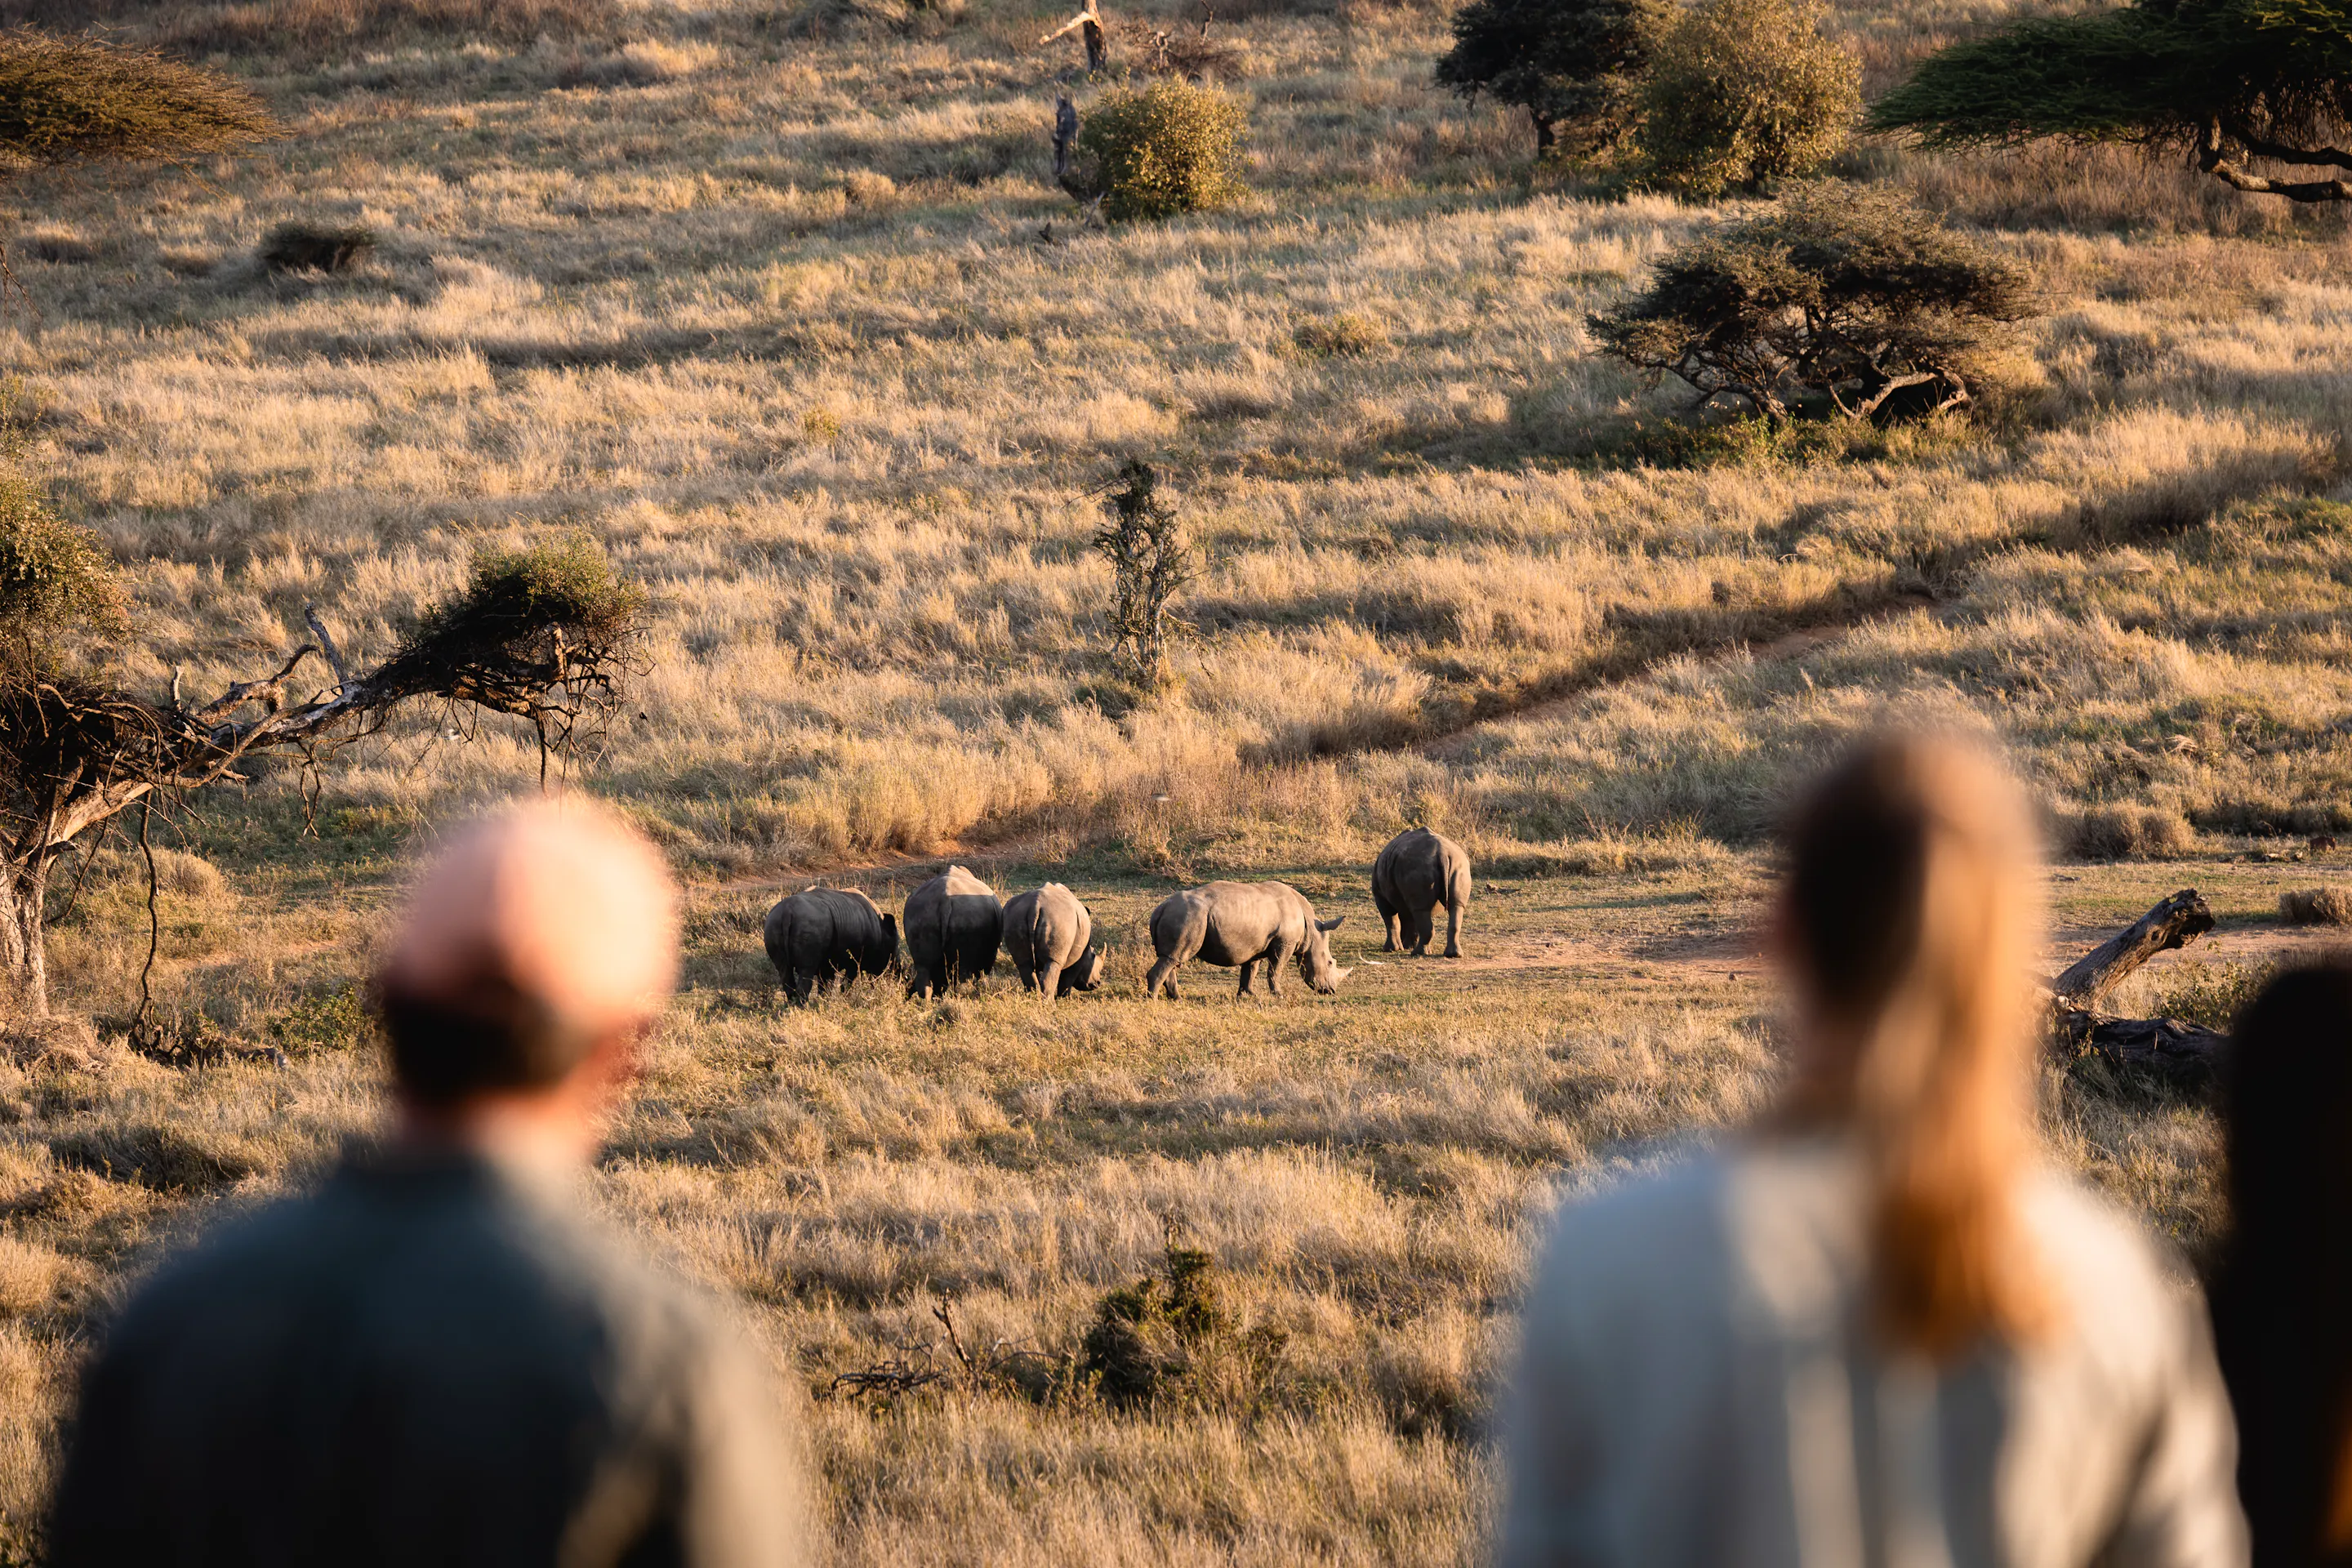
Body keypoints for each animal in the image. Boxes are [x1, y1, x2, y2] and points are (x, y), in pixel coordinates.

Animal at [764, 887, 898, 1003]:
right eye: (891, 957)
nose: (896, 975)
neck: (882, 931)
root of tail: (787, 912)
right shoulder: (855, 961)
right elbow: (846, 984)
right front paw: (843, 1002)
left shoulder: (827, 963)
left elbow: (825, 986)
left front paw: (824, 1003)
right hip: (808, 925)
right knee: (806, 970)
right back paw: (803, 1009)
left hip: (773, 923)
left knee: (784, 972)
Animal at [903, 865, 1003, 999]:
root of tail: (945, 901)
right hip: (967, 918)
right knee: (962, 971)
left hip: (920, 915)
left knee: (924, 967)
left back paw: (930, 1001)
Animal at [1002, 883, 1107, 1000]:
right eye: (1093, 956)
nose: (1097, 984)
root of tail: (1035, 905)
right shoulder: (1080, 956)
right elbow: (1068, 978)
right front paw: (1065, 998)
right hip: (1059, 920)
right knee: (1053, 963)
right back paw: (1049, 1002)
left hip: (1015, 917)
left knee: (1024, 963)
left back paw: (1033, 999)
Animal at [1143, 881, 1350, 1000]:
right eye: (1330, 963)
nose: (1330, 991)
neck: (1312, 931)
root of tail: (1160, 909)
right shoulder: (1284, 943)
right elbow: (1276, 969)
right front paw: (1279, 995)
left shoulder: (1256, 943)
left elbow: (1251, 968)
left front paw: (1247, 994)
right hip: (1187, 916)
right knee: (1173, 958)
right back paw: (1153, 1000)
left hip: (1183, 916)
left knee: (1170, 958)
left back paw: (1176, 999)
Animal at [1373, 826, 1472, 959]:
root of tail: (1442, 853)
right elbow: (1411, 921)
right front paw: (1408, 945)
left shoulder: (1380, 895)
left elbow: (1391, 920)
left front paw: (1391, 949)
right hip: (1459, 865)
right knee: (1456, 906)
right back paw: (1453, 955)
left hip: (1418, 867)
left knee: (1420, 910)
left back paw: (1417, 953)